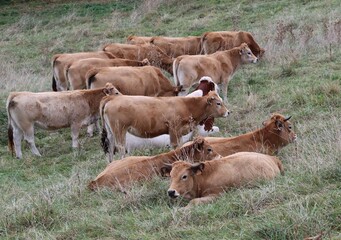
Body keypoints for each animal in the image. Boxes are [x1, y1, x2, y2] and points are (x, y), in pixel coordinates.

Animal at [99, 91, 230, 162]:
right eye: (218, 103)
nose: (228, 112)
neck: (186, 105)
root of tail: (111, 98)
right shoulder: (173, 130)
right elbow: (175, 147)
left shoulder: (179, 133)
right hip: (119, 130)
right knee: (120, 147)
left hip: (111, 133)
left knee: (110, 147)